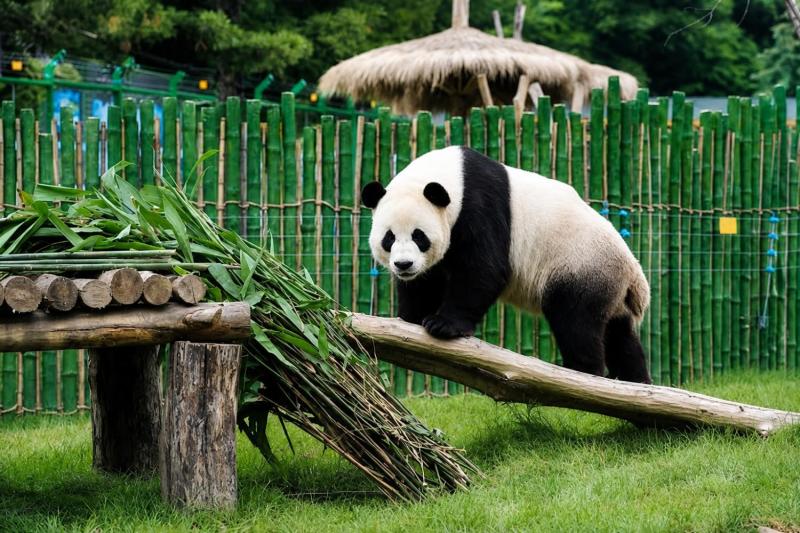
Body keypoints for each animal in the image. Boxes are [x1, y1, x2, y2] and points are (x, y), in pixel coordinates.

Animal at [361, 145, 652, 384]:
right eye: (389, 238)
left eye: (419, 236)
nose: (403, 264)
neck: (452, 175)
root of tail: (632, 270)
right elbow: (426, 280)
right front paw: (408, 319)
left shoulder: (479, 208)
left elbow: (483, 270)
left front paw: (443, 325)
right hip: (608, 285)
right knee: (619, 335)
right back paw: (635, 380)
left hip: (579, 264)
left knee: (576, 320)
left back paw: (582, 373)